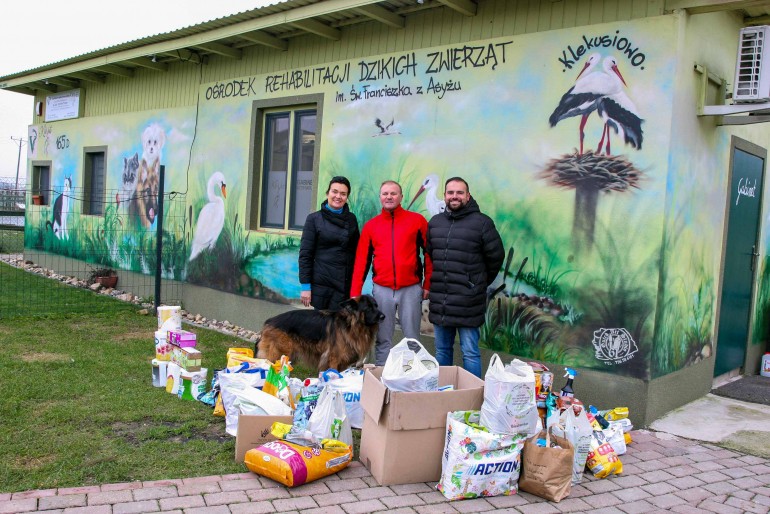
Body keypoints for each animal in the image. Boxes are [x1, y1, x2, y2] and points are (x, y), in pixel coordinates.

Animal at [256, 294, 384, 370]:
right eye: (368, 308)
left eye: (376, 306)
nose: (383, 316)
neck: (350, 325)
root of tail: (269, 321)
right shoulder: (333, 360)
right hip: (278, 355)